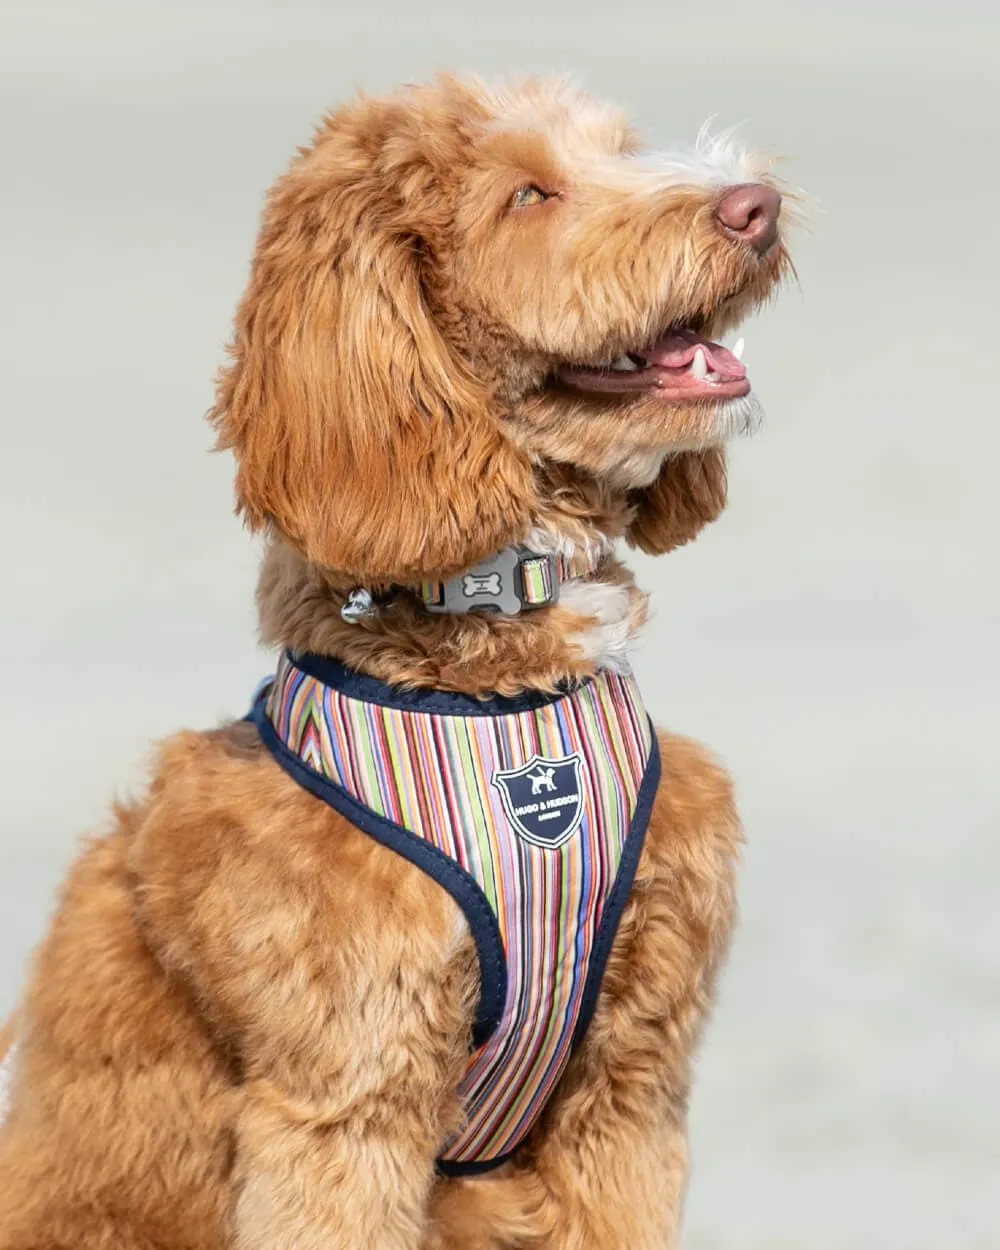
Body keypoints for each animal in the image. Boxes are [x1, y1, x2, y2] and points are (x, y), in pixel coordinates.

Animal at [0, 73, 790, 1245]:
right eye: (527, 194)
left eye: (620, 149)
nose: (755, 205)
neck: (502, 689)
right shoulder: (347, 1096)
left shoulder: (628, 1087)